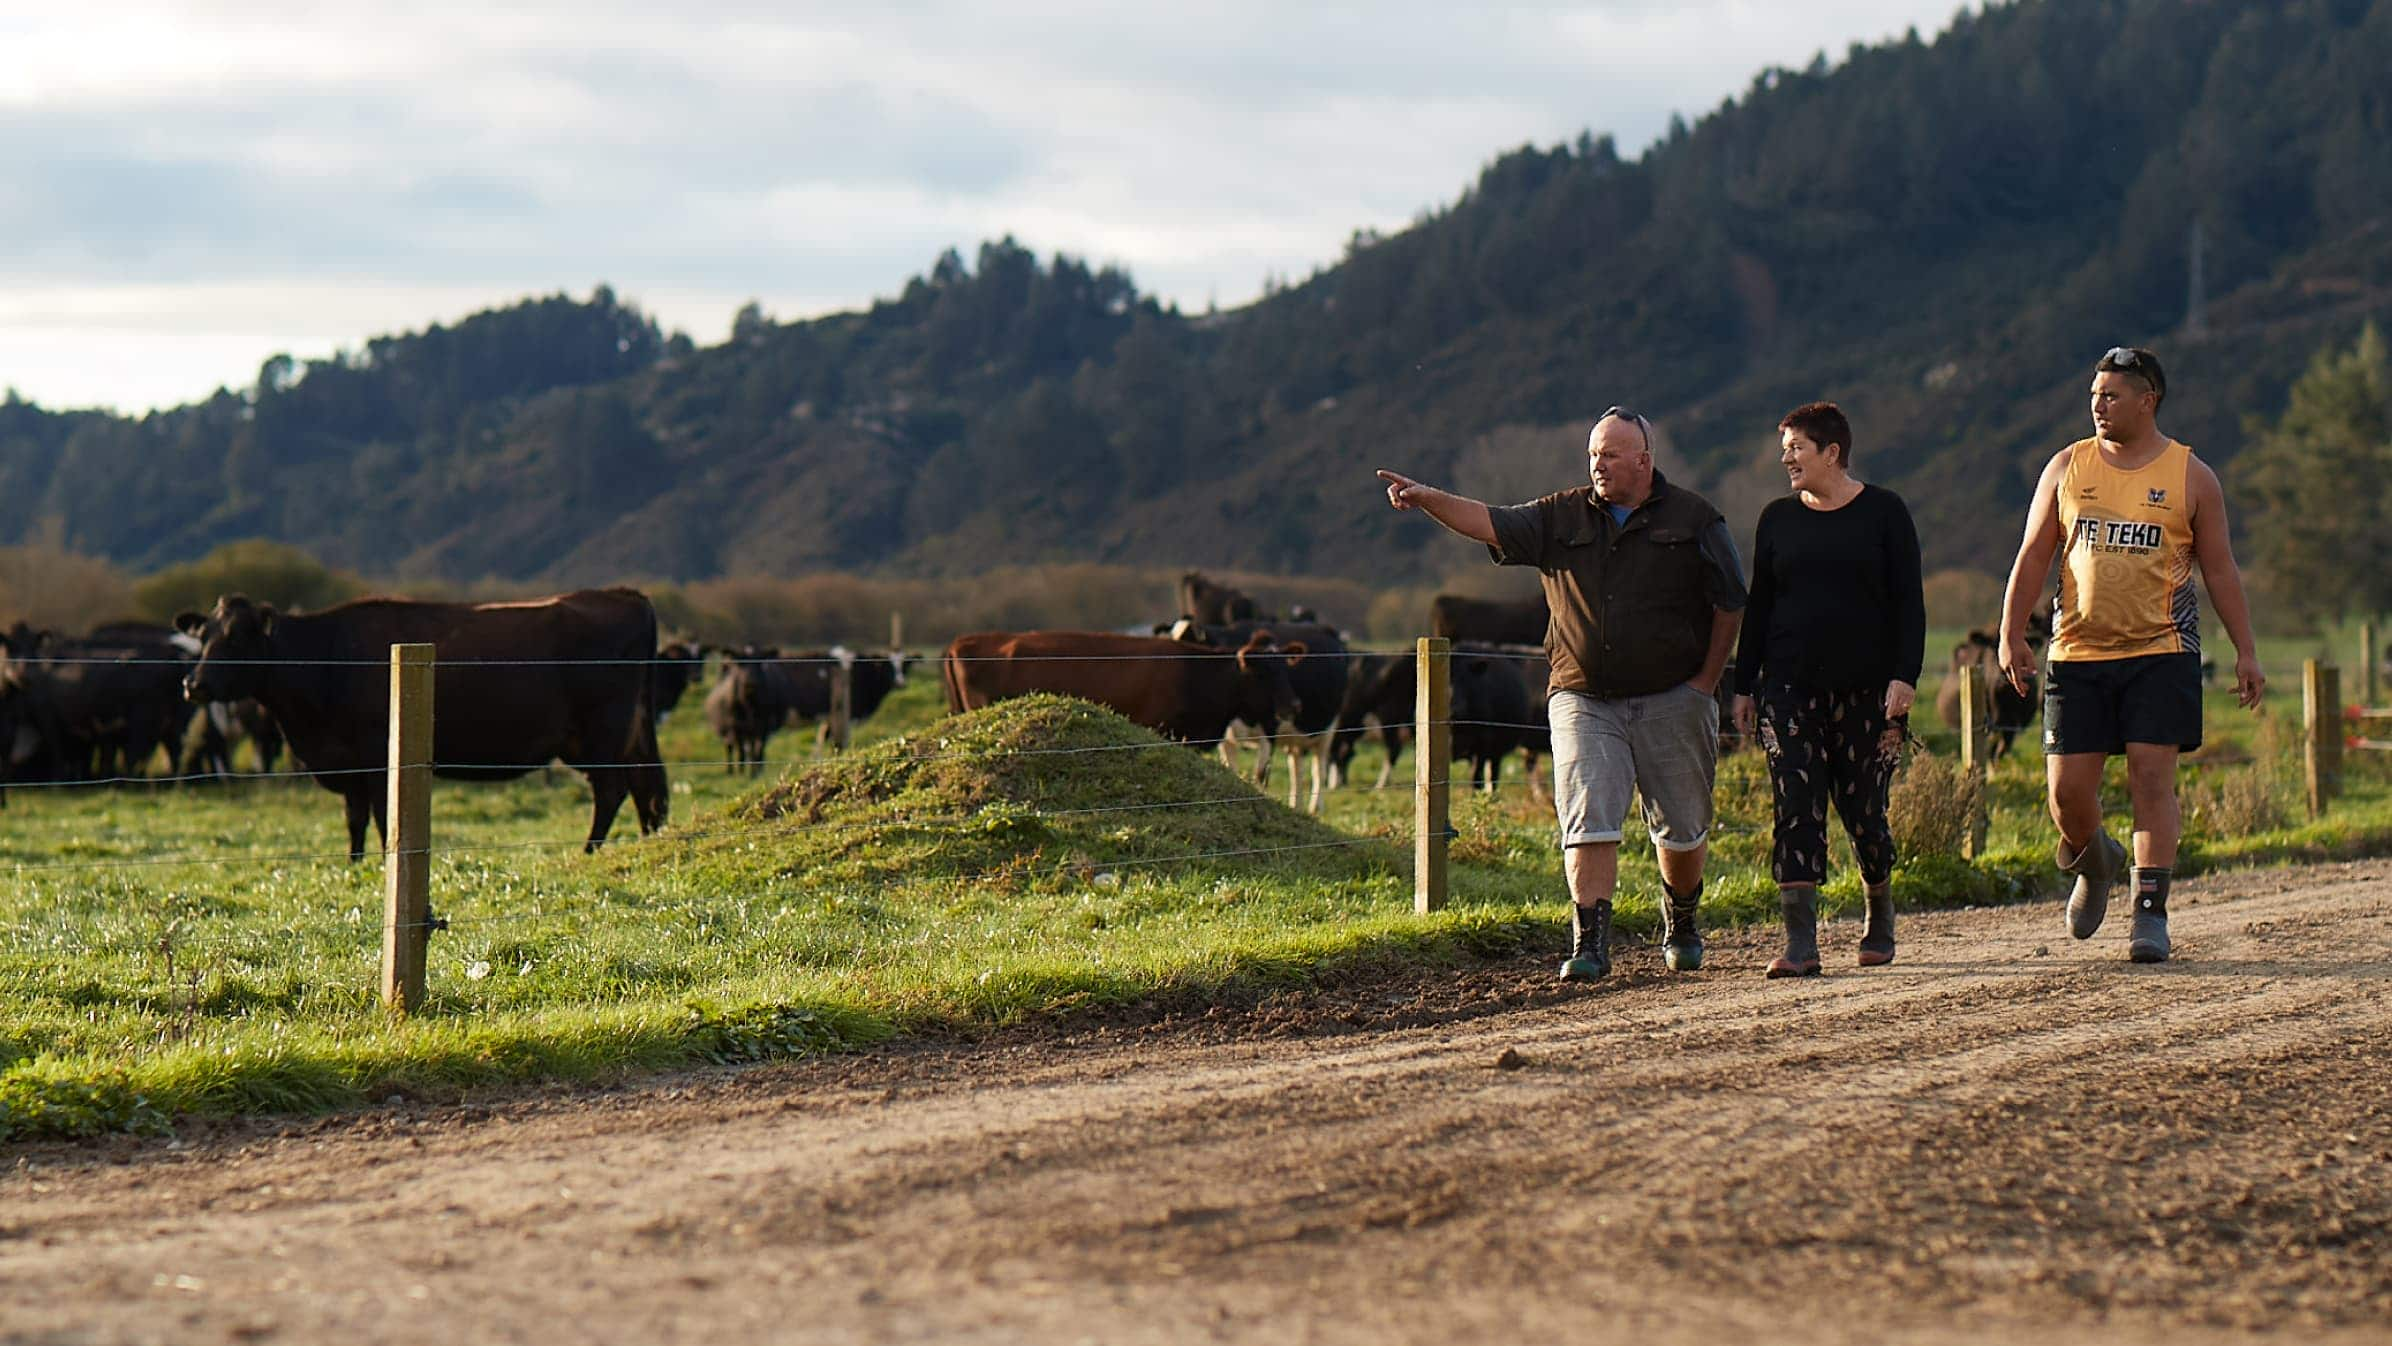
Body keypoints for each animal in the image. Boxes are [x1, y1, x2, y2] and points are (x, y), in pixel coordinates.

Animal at [175, 590, 669, 865]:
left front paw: (380, 863)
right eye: (204, 635)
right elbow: (354, 820)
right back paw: (647, 841)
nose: (193, 684)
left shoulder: (376, 757)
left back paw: (590, 849)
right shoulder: (347, 763)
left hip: (602, 730)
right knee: (646, 786)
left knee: (611, 790)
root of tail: (626, 595)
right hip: (628, 732)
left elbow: (380, 818)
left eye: (236, 636)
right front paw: (353, 864)